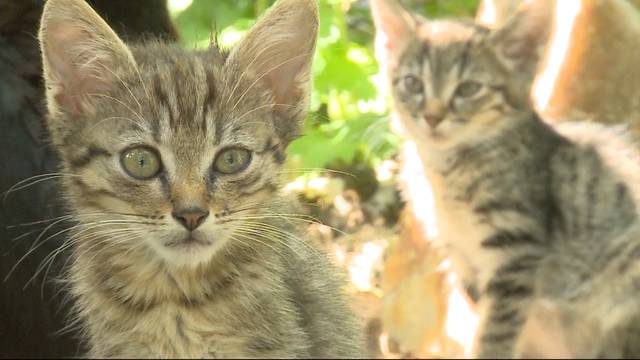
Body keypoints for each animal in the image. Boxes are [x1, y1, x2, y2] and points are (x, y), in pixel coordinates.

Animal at [372, 0, 640, 358]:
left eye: (468, 88)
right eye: (413, 83)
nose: (432, 117)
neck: (445, 173)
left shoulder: (517, 252)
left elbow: (494, 335)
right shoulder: (463, 260)